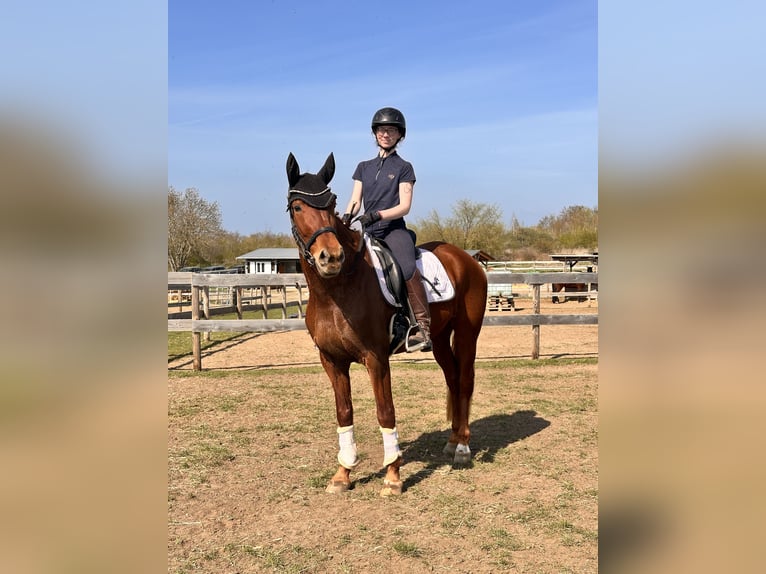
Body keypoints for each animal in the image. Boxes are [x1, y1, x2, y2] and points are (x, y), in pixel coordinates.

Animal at [286, 152, 487, 496]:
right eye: (298, 207)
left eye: (331, 204)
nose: (331, 257)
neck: (338, 290)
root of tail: (466, 259)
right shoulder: (332, 360)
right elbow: (344, 412)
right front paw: (343, 474)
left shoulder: (376, 358)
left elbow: (385, 411)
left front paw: (393, 475)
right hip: (439, 339)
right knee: (452, 378)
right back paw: (451, 441)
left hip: (466, 334)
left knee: (464, 381)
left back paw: (462, 448)